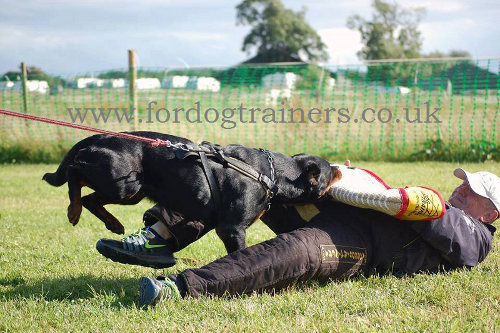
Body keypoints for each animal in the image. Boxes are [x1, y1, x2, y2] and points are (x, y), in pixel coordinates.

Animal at [44, 131, 340, 253]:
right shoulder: (231, 228)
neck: (271, 173)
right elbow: (237, 251)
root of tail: (98, 137)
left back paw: (113, 224)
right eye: (330, 172)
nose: (340, 168)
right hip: (124, 183)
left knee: (90, 197)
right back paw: (73, 211)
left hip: (131, 192)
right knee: (75, 172)